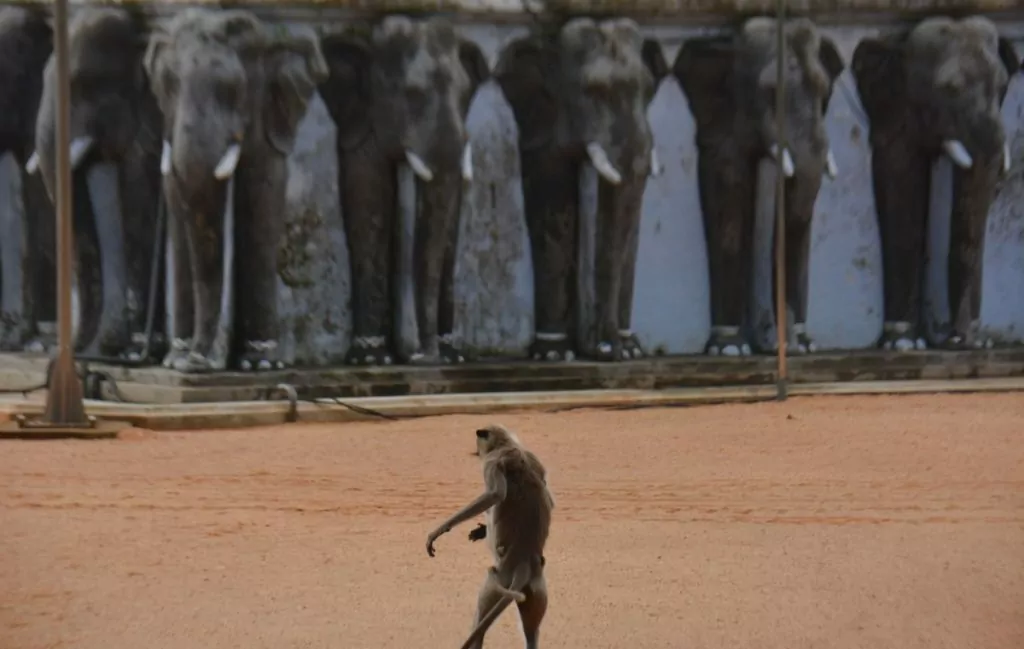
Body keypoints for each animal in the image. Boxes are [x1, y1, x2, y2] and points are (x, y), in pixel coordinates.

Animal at [423, 421, 552, 642]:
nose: (476, 451)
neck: (507, 444)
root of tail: (524, 562)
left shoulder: (492, 462)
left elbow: (495, 494)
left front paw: (439, 531)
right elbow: (549, 495)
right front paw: (480, 531)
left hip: (497, 581)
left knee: (480, 621)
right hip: (536, 588)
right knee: (532, 631)